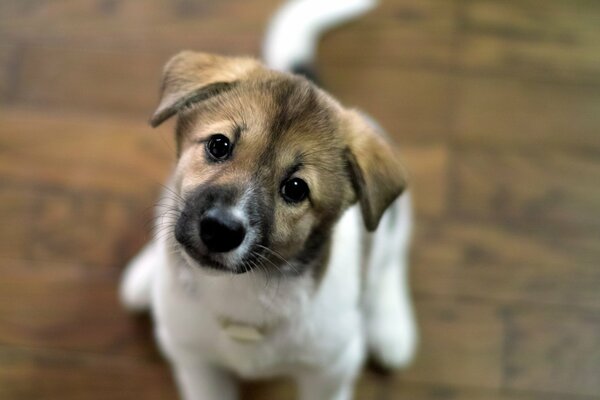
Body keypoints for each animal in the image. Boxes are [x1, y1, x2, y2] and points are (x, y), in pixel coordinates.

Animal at [119, 1, 414, 398]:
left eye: (296, 189)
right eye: (219, 145)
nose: (219, 230)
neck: (242, 288)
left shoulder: (331, 369)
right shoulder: (195, 361)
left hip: (393, 222)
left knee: (391, 258)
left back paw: (392, 325)